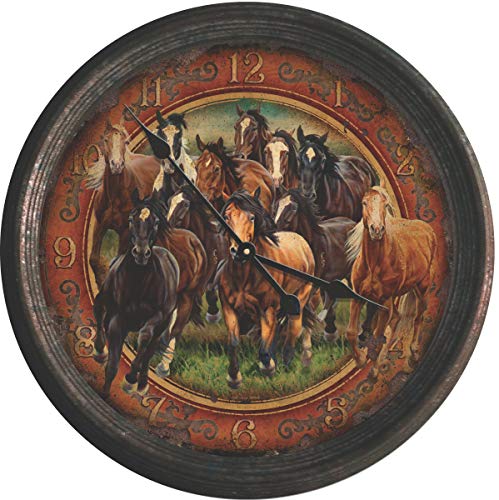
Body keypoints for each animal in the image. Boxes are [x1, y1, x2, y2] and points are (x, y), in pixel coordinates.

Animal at [86, 116, 161, 287]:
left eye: (126, 142)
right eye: (105, 140)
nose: (117, 165)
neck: (115, 197)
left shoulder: (125, 232)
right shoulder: (100, 225)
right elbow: (93, 259)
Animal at [92, 191, 179, 398]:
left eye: (156, 222)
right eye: (132, 219)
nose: (141, 253)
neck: (137, 282)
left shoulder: (157, 317)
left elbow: (145, 339)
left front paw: (131, 380)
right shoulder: (118, 317)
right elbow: (112, 366)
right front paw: (105, 391)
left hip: (163, 323)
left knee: (149, 350)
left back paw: (141, 384)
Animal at [219, 188, 316, 389]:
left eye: (252, 217)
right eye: (226, 216)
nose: (238, 251)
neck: (245, 278)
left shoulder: (267, 310)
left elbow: (264, 347)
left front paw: (268, 367)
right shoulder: (228, 308)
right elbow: (233, 343)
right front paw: (234, 378)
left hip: (301, 297)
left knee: (293, 328)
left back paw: (288, 363)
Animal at [345, 186, 437, 379]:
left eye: (385, 204)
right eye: (364, 203)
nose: (376, 229)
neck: (373, 265)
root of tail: (427, 229)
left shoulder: (384, 302)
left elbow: (378, 337)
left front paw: (370, 364)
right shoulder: (357, 297)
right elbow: (351, 332)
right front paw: (361, 360)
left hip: (422, 288)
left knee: (417, 317)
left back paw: (413, 354)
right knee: (397, 319)